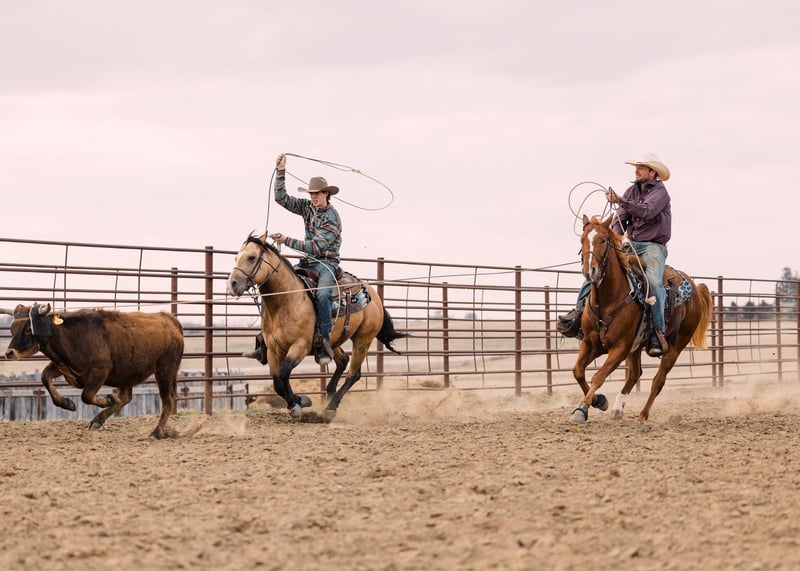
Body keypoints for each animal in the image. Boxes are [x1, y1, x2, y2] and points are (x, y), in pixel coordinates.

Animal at [2, 303, 184, 438]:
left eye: (28, 329)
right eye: (12, 329)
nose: (9, 353)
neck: (71, 335)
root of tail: (169, 320)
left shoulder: (100, 370)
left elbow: (87, 396)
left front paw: (108, 400)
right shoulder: (64, 366)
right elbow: (45, 377)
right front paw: (67, 403)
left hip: (165, 371)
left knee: (168, 400)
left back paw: (157, 432)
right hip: (128, 372)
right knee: (126, 397)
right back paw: (99, 419)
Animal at [226, 233, 406, 419]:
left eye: (252, 257)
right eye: (236, 257)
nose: (232, 284)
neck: (288, 300)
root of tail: (374, 295)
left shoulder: (300, 346)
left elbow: (283, 373)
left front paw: (297, 404)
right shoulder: (273, 349)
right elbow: (277, 381)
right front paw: (299, 400)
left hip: (364, 338)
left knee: (354, 373)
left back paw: (331, 406)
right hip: (332, 341)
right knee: (343, 360)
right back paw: (329, 392)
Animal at [569, 215, 714, 423]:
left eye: (603, 240)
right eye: (582, 240)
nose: (590, 271)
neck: (609, 300)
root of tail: (695, 288)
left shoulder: (620, 348)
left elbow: (599, 376)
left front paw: (582, 408)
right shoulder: (590, 343)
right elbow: (578, 371)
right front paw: (599, 401)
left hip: (676, 345)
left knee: (658, 380)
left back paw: (642, 416)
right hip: (636, 346)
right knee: (635, 374)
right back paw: (618, 408)